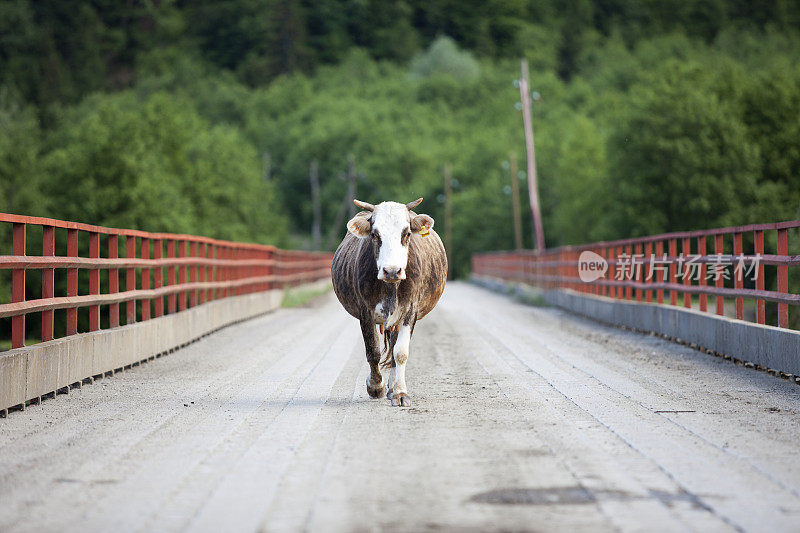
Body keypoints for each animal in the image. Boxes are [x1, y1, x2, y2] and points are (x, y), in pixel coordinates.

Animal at [328, 197, 446, 406]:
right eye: (375, 234)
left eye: (407, 233)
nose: (392, 271)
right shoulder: (365, 311)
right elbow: (373, 351)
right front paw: (375, 386)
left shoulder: (410, 310)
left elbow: (400, 352)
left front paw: (400, 392)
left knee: (392, 349)